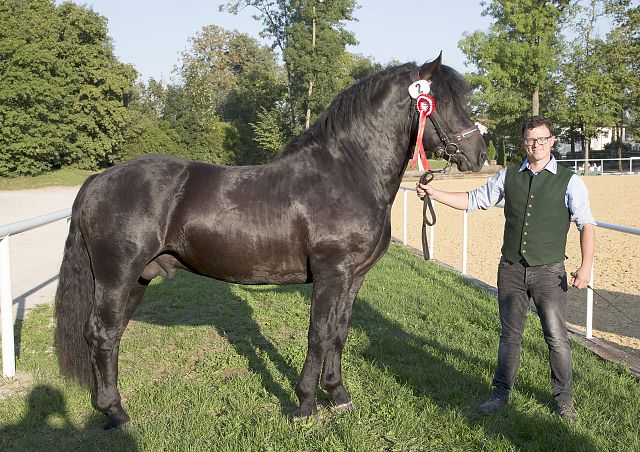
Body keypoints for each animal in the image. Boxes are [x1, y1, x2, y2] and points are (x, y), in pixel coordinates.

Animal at [55, 53, 484, 428]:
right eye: (443, 101)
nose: (478, 153)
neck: (346, 173)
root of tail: (98, 180)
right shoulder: (331, 273)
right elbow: (318, 335)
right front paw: (306, 405)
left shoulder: (353, 278)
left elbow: (339, 334)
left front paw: (339, 396)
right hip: (116, 277)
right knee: (102, 335)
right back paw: (116, 413)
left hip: (137, 278)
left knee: (111, 336)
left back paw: (108, 406)